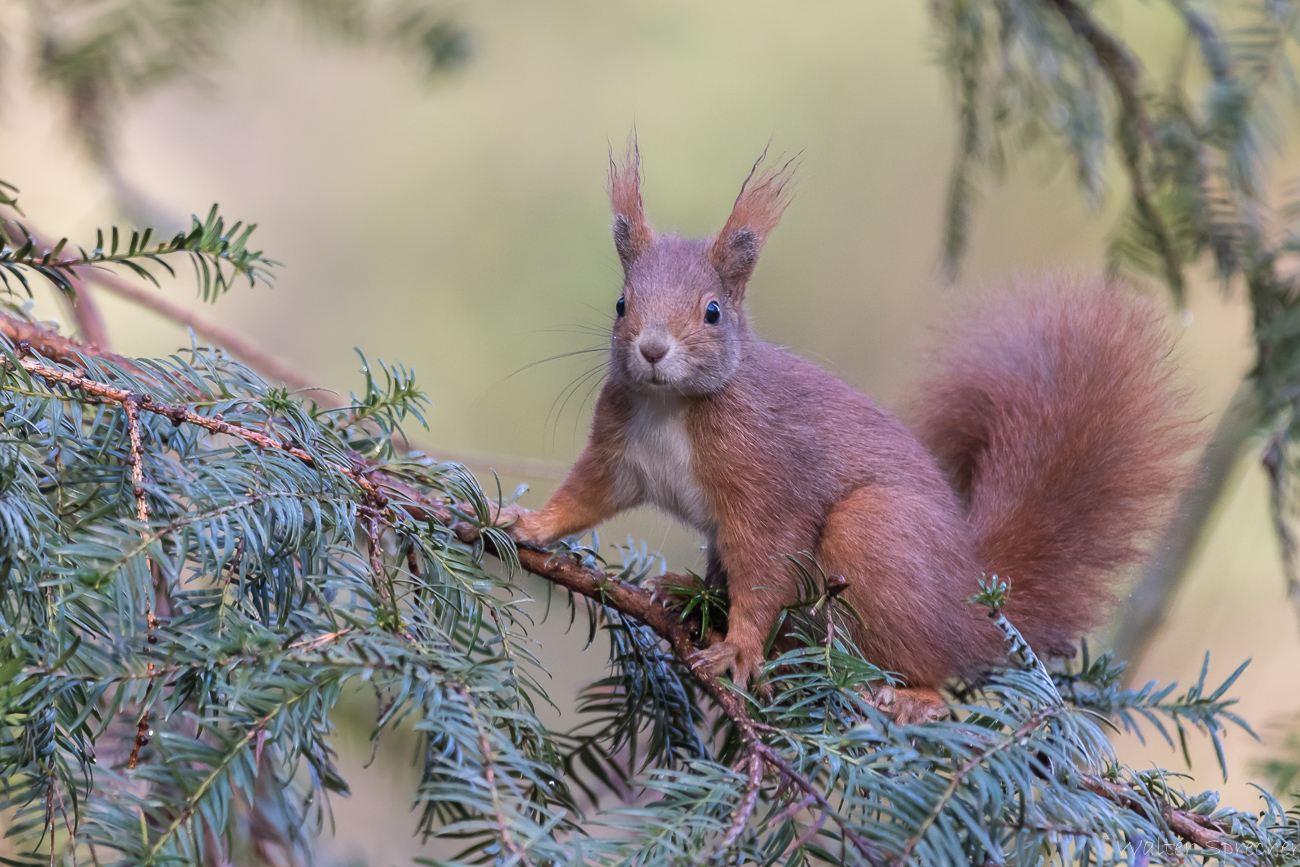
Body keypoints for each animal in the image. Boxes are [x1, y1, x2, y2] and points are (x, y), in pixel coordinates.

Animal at [496, 142, 1190, 712]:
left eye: (713, 312)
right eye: (621, 304)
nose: (651, 349)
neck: (672, 406)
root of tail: (968, 600)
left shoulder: (766, 477)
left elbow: (766, 564)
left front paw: (739, 649)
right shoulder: (619, 449)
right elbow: (586, 496)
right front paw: (525, 523)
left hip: (873, 534)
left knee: (929, 664)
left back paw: (912, 696)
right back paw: (691, 591)